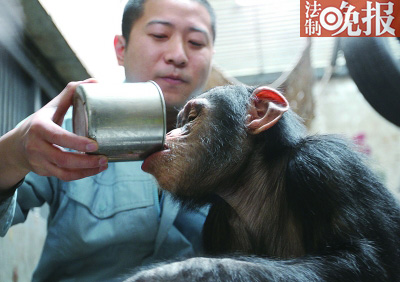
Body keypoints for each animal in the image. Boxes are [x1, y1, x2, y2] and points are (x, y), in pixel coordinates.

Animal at [126, 85, 400, 280]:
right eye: (180, 122)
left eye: (191, 118)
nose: (170, 132)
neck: (252, 183)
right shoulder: (216, 224)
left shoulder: (328, 166)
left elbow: (365, 261)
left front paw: (179, 272)